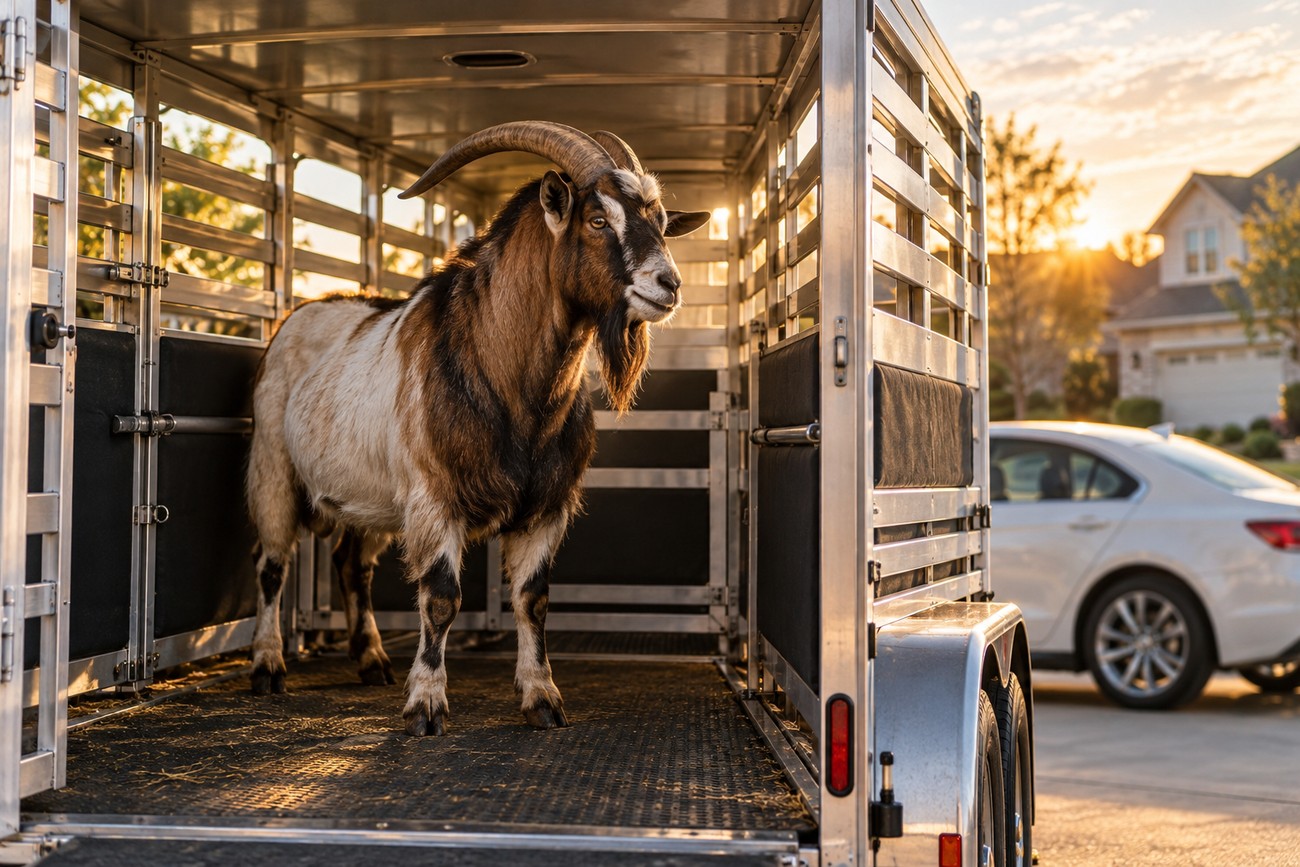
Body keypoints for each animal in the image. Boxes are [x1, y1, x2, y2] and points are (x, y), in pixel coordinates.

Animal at [246, 122, 709, 736]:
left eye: (658, 220)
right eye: (597, 220)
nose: (668, 285)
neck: (508, 383)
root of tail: (298, 315)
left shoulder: (546, 507)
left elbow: (533, 598)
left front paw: (542, 699)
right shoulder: (434, 498)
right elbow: (441, 597)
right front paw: (426, 706)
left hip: (372, 499)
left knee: (352, 565)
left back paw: (372, 661)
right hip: (274, 468)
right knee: (272, 565)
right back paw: (268, 665)